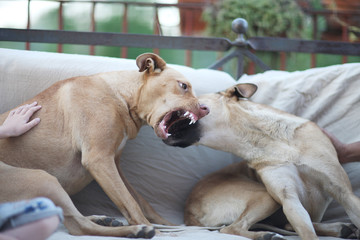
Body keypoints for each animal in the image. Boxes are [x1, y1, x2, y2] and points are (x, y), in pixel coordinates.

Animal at [0, 53, 208, 239]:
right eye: (183, 86)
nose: (206, 109)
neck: (120, 97)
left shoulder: (114, 164)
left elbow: (139, 200)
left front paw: (167, 224)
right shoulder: (99, 160)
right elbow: (130, 202)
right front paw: (154, 230)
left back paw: (102, 219)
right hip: (42, 178)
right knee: (78, 227)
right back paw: (135, 230)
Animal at [165, 83, 360, 239]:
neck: (264, 140)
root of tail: (188, 212)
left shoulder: (344, 193)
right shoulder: (289, 200)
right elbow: (307, 232)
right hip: (265, 196)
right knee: (231, 228)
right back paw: (265, 235)